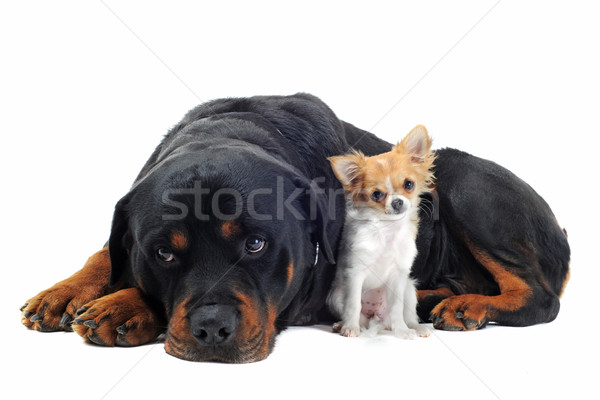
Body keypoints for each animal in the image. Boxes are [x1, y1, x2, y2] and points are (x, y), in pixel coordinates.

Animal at [326, 125, 434, 338]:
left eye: (409, 184)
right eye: (377, 195)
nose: (397, 202)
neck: (387, 230)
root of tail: (377, 318)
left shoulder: (399, 276)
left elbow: (397, 308)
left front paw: (402, 331)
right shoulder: (355, 273)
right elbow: (353, 305)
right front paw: (350, 328)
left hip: (409, 288)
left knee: (406, 316)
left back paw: (414, 328)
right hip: (335, 296)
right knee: (360, 316)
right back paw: (342, 325)